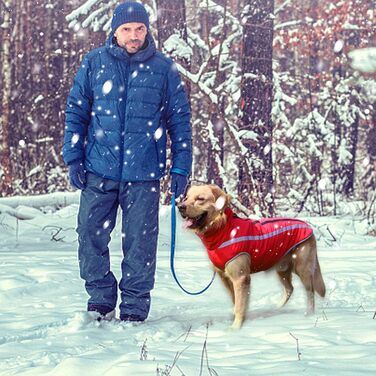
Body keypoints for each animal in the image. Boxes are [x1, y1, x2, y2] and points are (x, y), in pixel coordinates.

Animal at [178, 184, 324, 328]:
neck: (222, 228)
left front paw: (235, 329)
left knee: (310, 291)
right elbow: (235, 300)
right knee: (290, 288)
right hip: (282, 269)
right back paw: (277, 309)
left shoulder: (241, 277)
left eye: (200, 199)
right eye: (186, 198)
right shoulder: (225, 277)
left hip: (302, 268)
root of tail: (308, 227)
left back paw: (308, 315)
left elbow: (239, 305)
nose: (180, 206)